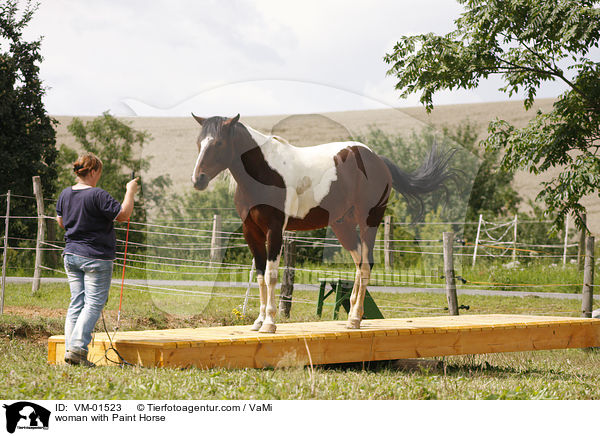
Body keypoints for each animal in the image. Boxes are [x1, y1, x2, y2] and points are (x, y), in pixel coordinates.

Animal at [192, 114, 454, 332]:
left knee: (366, 264)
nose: (198, 180)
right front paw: (258, 321)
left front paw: (269, 323)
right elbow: (259, 275)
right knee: (359, 262)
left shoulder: (275, 230)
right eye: (199, 143)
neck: (264, 171)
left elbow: (271, 275)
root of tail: (376, 159)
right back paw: (351, 316)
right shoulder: (251, 231)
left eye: (218, 143)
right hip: (343, 226)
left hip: (368, 221)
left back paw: (356, 318)